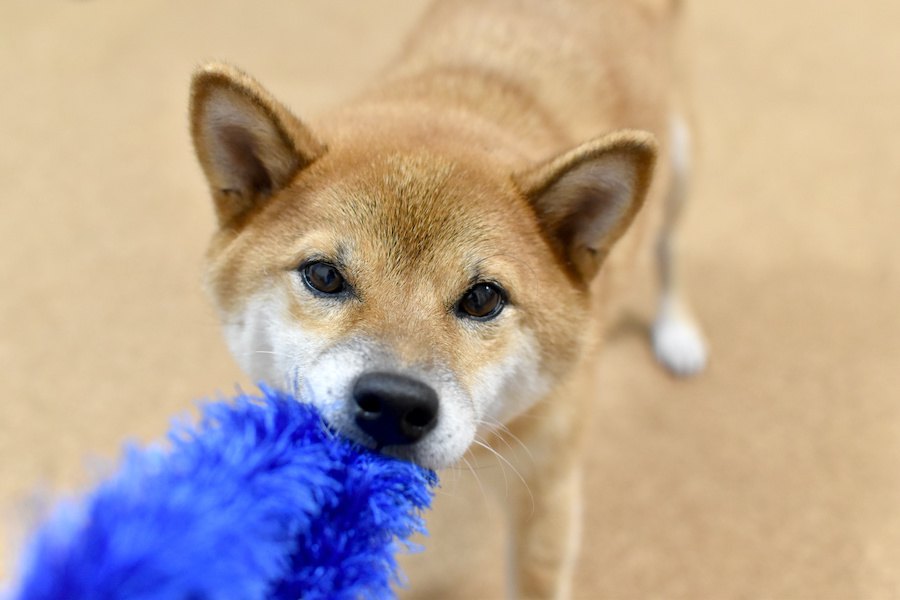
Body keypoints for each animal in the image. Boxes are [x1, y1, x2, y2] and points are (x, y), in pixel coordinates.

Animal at [190, 2, 708, 596]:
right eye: (323, 275)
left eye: (482, 298)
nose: (395, 403)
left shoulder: (547, 491)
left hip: (679, 167)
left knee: (669, 248)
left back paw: (677, 331)